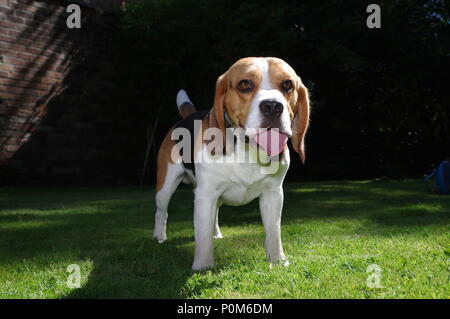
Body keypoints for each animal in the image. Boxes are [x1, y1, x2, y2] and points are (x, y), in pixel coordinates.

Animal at [152, 57, 310, 270]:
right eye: (245, 84)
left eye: (287, 85)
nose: (272, 106)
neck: (247, 150)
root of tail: (188, 115)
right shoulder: (205, 195)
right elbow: (202, 237)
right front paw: (203, 265)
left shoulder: (273, 194)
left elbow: (274, 233)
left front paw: (277, 260)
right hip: (165, 186)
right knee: (162, 212)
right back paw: (159, 237)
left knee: (215, 214)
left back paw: (216, 234)